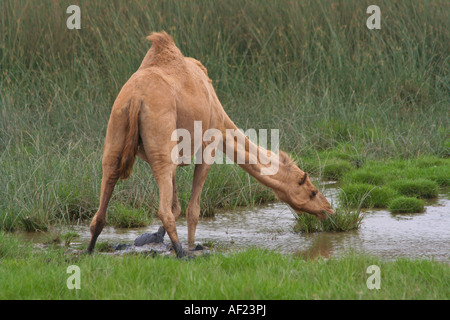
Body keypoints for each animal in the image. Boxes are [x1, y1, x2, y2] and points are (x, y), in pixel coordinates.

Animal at [88, 31, 334, 258]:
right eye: (312, 191)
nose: (329, 209)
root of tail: (136, 97)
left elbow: (178, 206)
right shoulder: (210, 144)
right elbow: (192, 209)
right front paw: (191, 246)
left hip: (116, 128)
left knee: (106, 187)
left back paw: (90, 250)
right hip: (160, 141)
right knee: (164, 208)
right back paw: (182, 254)